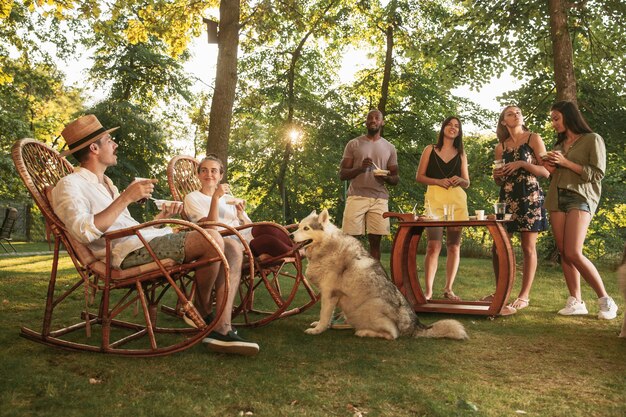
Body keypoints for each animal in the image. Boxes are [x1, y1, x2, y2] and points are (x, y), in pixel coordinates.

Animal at [294, 210, 466, 340]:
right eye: (298, 227)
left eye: (306, 228)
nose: (290, 235)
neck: (327, 245)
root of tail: (415, 324)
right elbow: (326, 316)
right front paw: (320, 325)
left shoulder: (329, 293)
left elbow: (324, 314)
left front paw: (318, 330)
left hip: (367, 306)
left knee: (392, 334)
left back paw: (364, 332)